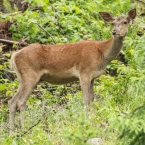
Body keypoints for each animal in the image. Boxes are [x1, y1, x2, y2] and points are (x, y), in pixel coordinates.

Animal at [8, 8, 136, 132]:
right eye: (113, 23)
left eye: (125, 22)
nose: (114, 32)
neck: (102, 54)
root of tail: (14, 56)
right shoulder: (84, 72)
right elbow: (86, 99)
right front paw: (87, 121)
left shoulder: (92, 77)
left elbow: (92, 99)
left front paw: (93, 119)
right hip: (30, 75)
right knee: (21, 101)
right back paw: (25, 128)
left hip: (22, 79)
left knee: (12, 101)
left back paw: (12, 131)